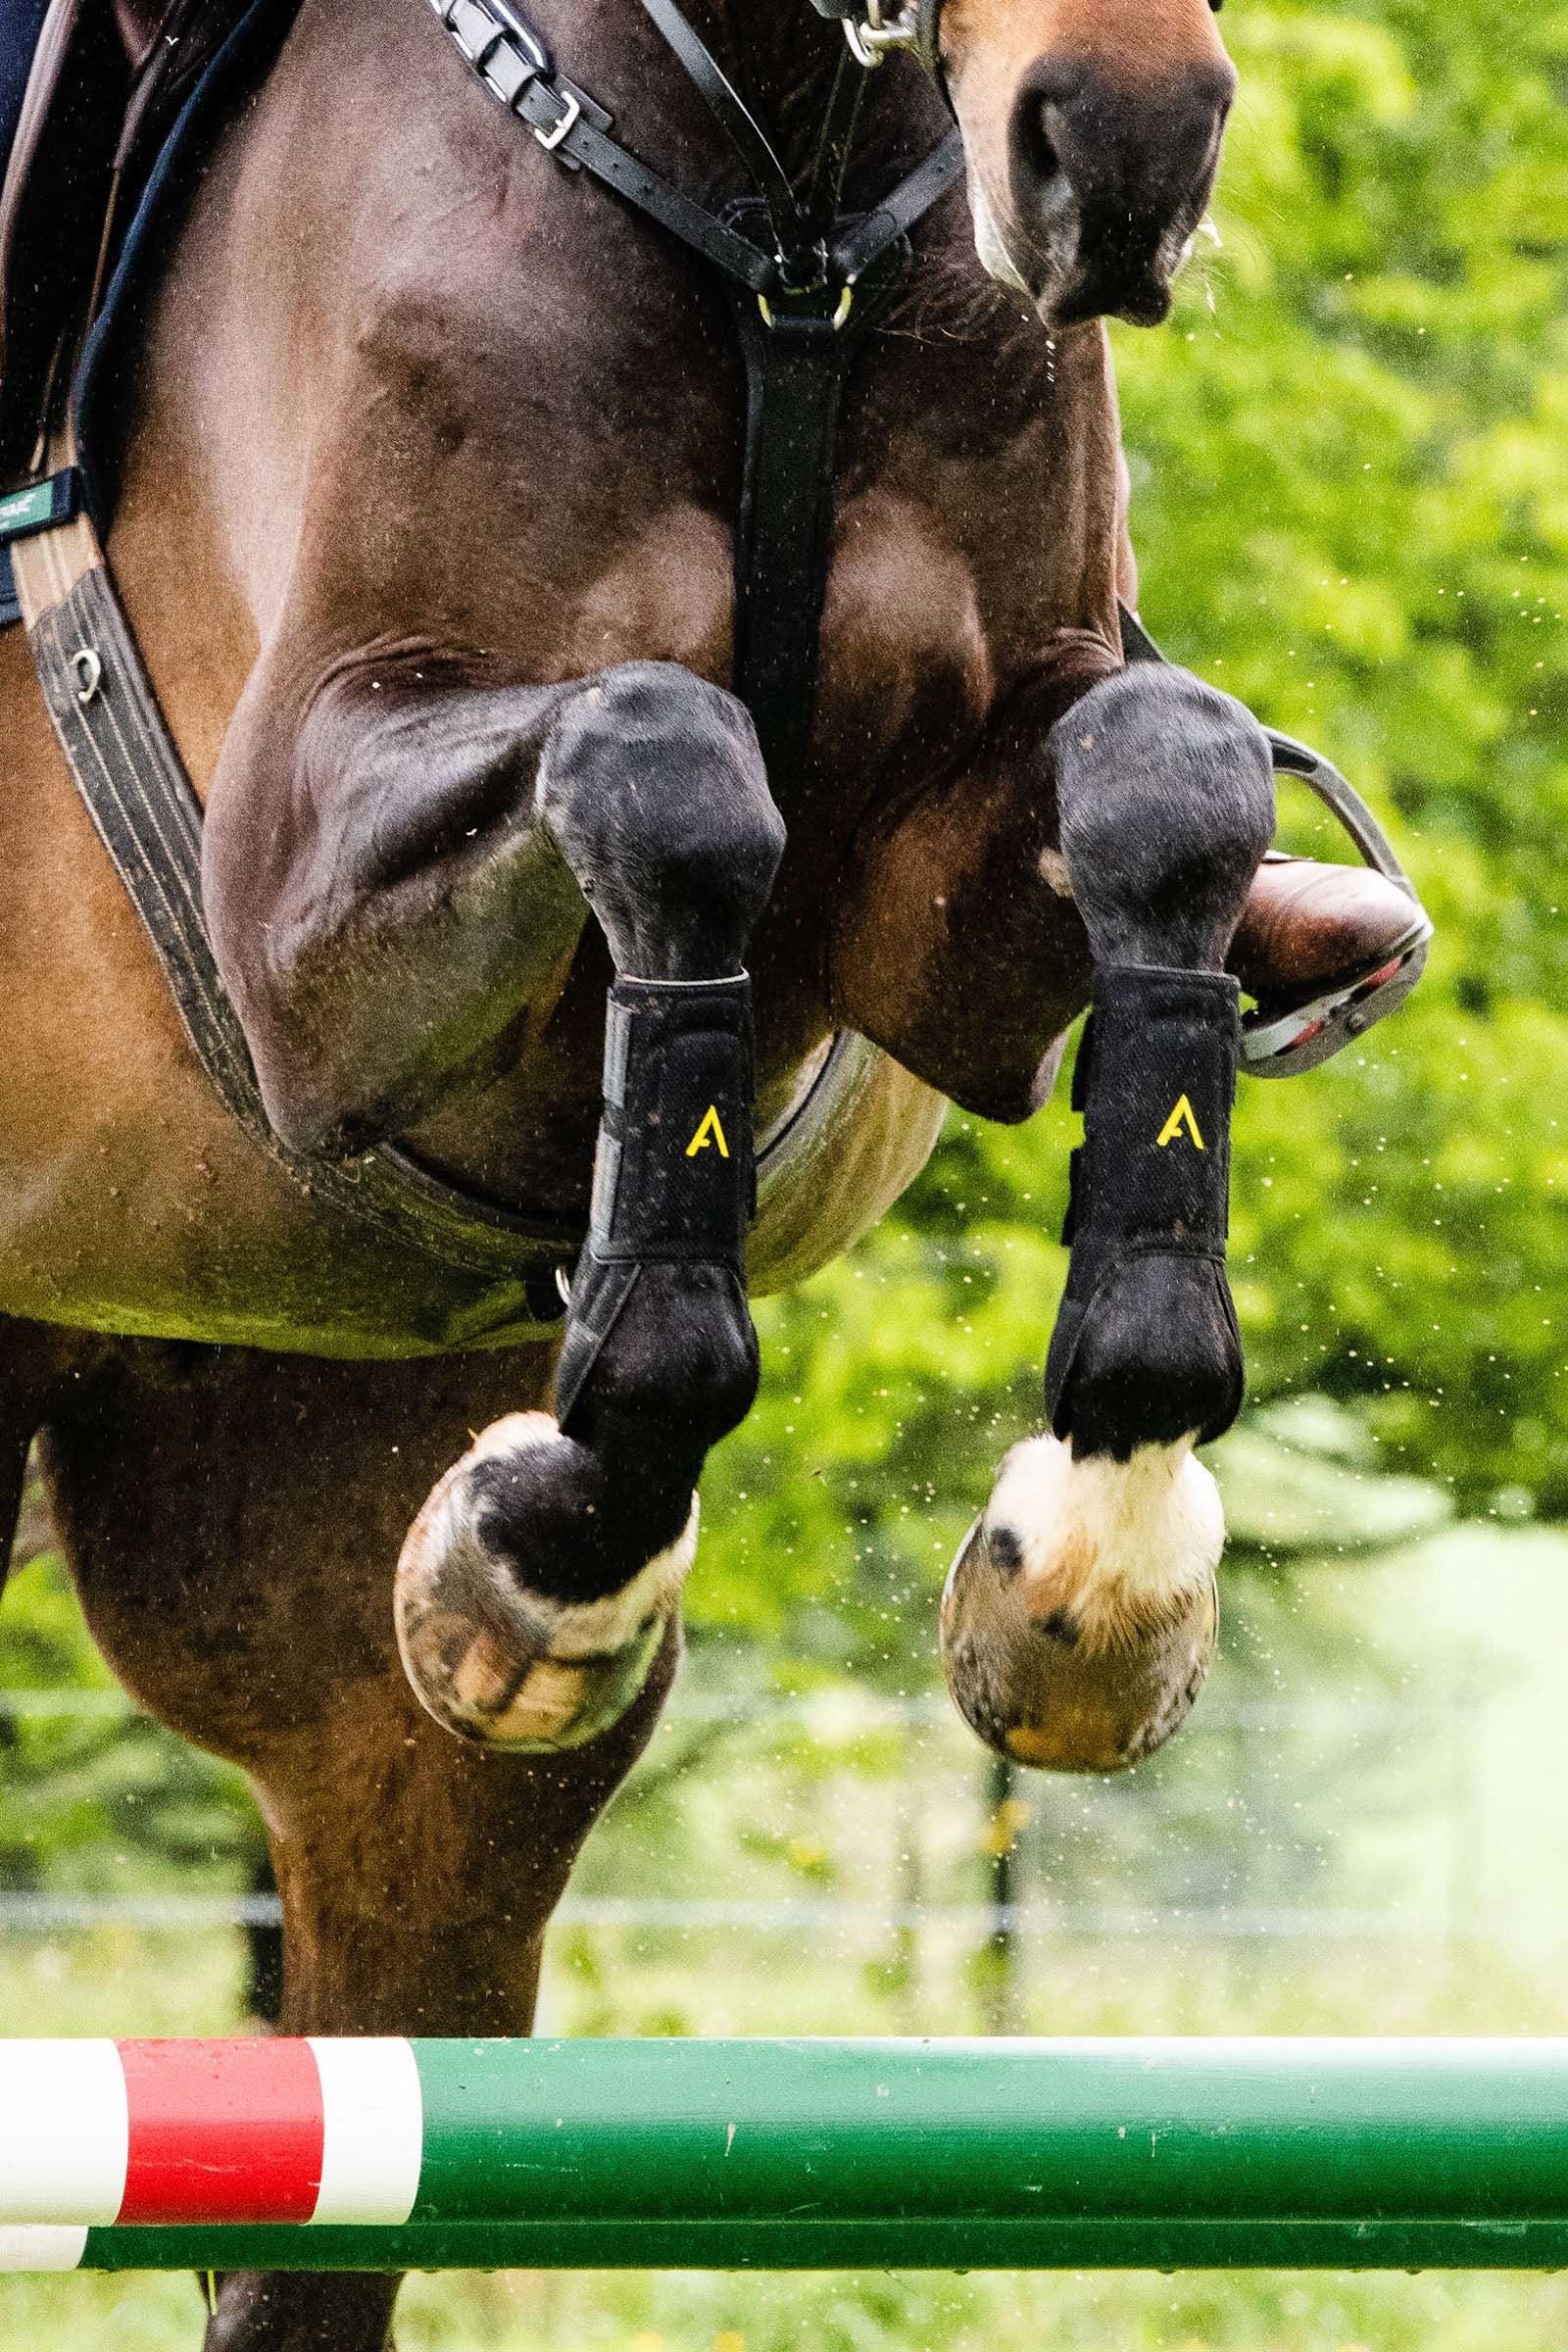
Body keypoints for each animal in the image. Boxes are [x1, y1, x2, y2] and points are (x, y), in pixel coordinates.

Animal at [0, 0, 1428, 2341]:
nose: (1117, 159)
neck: (781, 211)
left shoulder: (945, 892)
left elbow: (1167, 778)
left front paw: (1103, 1540)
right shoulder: (291, 910)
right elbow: (671, 765)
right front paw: (560, 1537)